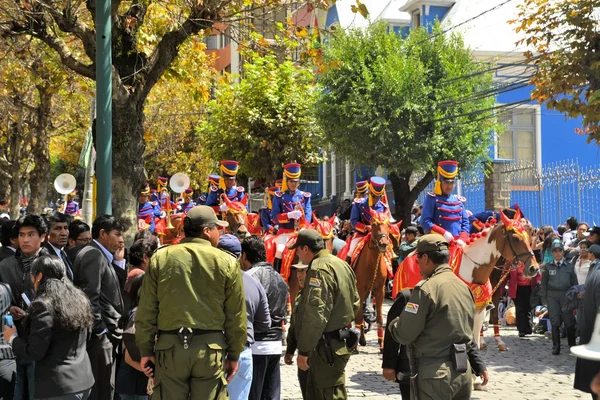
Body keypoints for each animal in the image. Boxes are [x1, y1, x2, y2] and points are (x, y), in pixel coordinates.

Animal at [352, 211, 394, 352]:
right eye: (374, 224)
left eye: (388, 225)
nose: (383, 244)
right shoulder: (359, 289)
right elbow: (358, 316)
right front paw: (356, 344)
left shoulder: (380, 290)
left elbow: (380, 319)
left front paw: (381, 344)